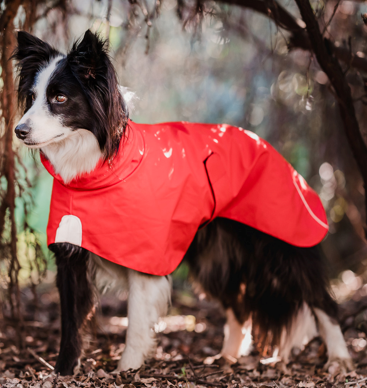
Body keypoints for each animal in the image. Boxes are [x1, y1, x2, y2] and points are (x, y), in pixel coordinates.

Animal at [12, 30, 356, 376]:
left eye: (59, 98)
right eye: (31, 96)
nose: (18, 130)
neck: (97, 172)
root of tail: (267, 146)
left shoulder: (144, 258)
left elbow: (136, 323)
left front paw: (128, 369)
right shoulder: (70, 251)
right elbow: (71, 322)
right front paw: (63, 371)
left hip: (280, 244)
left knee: (321, 300)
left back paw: (339, 358)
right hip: (213, 258)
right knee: (239, 308)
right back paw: (227, 357)